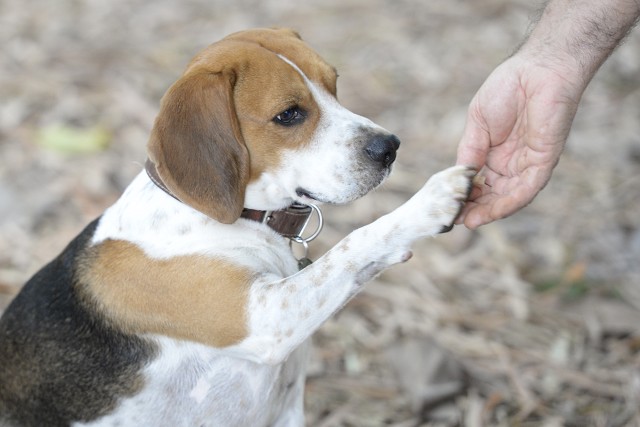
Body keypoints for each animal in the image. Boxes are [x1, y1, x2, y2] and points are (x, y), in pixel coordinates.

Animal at [1, 28, 476, 426]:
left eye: (334, 85)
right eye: (289, 115)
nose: (389, 147)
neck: (225, 218)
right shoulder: (267, 317)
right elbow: (356, 242)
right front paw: (429, 201)